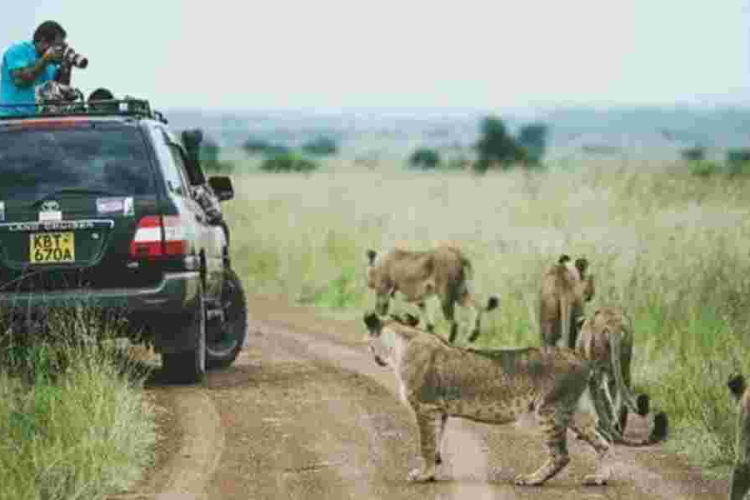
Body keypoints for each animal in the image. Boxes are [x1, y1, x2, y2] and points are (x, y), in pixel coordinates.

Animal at [363, 310, 615, 486]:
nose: (375, 358)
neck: (399, 345)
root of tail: (583, 359)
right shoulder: (439, 411)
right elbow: (435, 443)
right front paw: (432, 471)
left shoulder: (426, 406)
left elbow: (426, 444)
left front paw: (422, 475)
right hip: (574, 411)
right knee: (604, 443)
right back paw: (599, 478)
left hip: (549, 409)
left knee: (561, 455)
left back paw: (531, 480)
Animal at [365, 245, 499, 344]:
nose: (368, 283)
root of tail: (458, 254)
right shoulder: (415, 296)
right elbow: (422, 311)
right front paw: (422, 325)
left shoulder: (383, 291)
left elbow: (381, 310)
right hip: (459, 292)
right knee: (475, 308)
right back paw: (472, 335)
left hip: (446, 295)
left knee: (454, 322)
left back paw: (449, 339)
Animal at [575, 307, 668, 444]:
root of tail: (614, 324)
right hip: (623, 362)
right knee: (621, 394)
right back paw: (616, 428)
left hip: (600, 367)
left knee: (602, 396)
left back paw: (607, 430)